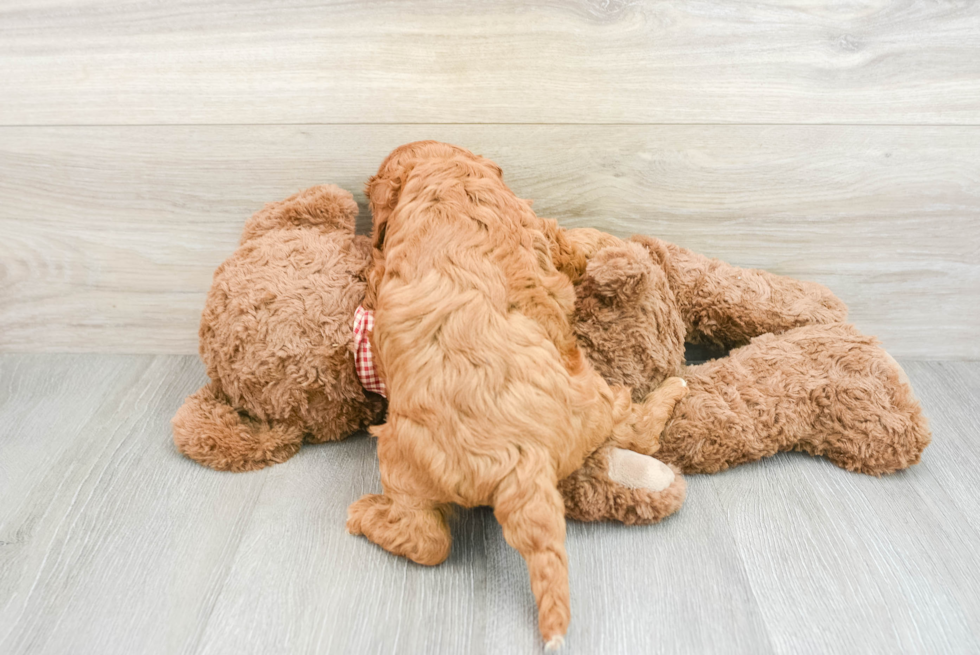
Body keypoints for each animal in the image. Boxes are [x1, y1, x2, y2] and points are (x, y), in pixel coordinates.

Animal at [348, 141, 684, 648]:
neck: (450, 177)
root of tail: (522, 455)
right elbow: (566, 247)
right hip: (577, 401)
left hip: (402, 458)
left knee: (427, 540)